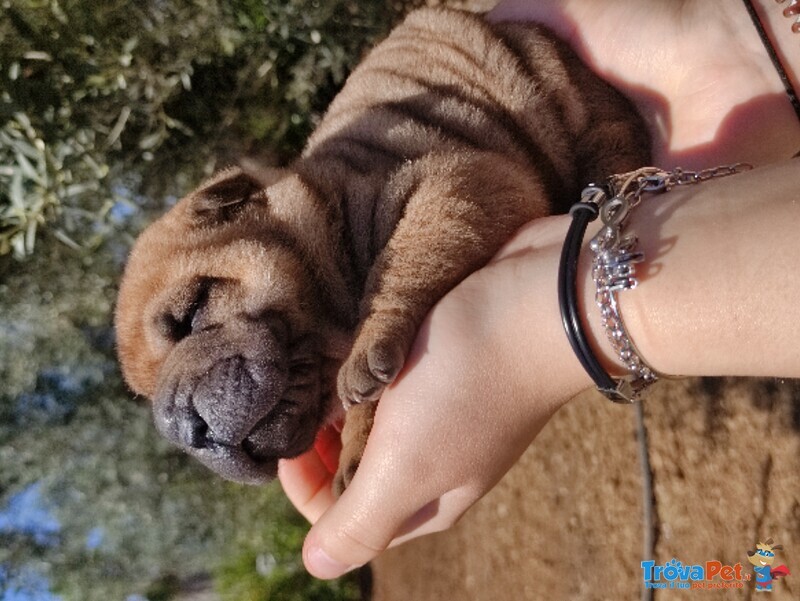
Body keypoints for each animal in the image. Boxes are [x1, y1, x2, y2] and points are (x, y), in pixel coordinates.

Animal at [114, 7, 648, 492]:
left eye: (191, 313)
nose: (185, 430)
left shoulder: (460, 181)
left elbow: (408, 257)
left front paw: (367, 347)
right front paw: (355, 448)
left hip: (561, 86)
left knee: (605, 131)